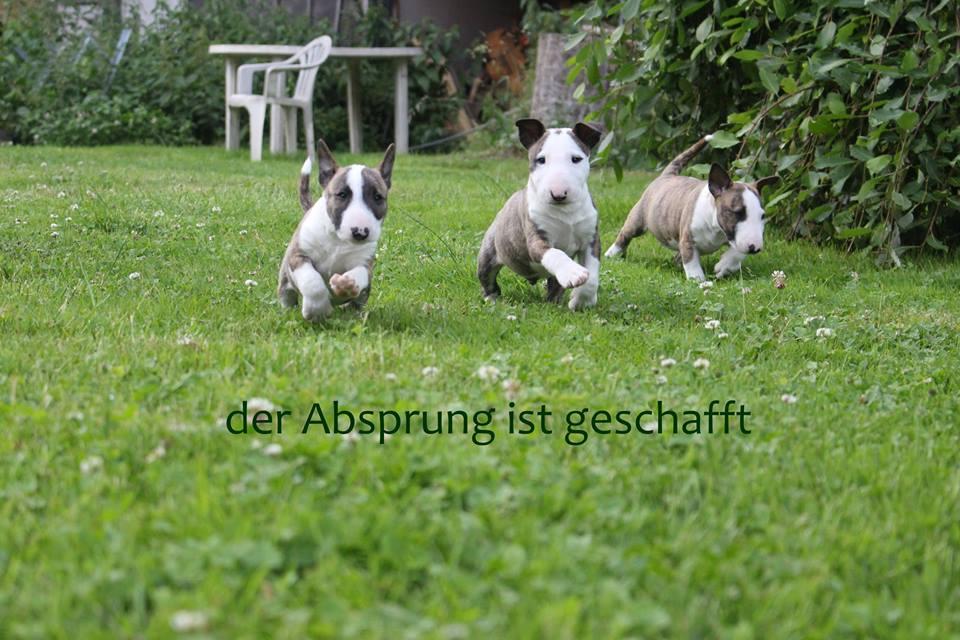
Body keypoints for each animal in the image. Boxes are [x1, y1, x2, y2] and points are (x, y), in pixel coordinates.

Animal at [277, 140, 395, 322]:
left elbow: (360, 272)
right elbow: (312, 281)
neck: (337, 241)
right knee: (287, 295)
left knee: (356, 304)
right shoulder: (297, 256)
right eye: (342, 194)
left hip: (362, 297)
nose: (360, 232)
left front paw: (347, 284)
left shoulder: (365, 263)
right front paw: (316, 310)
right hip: (285, 280)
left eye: (378, 197)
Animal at [477, 118, 603, 310]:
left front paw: (581, 301)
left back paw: (554, 303)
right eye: (541, 160)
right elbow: (556, 253)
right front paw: (573, 273)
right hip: (488, 254)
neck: (566, 212)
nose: (558, 194)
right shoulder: (536, 240)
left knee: (554, 286)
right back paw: (492, 300)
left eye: (576, 159)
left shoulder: (591, 240)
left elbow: (593, 276)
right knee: (488, 280)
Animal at [604, 135, 778, 281]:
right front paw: (699, 281)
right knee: (625, 235)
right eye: (737, 213)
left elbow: (738, 252)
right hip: (638, 219)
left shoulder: (732, 238)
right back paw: (611, 254)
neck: (715, 226)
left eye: (762, 216)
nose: (755, 248)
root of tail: (667, 175)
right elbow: (691, 261)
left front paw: (724, 266)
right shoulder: (687, 238)